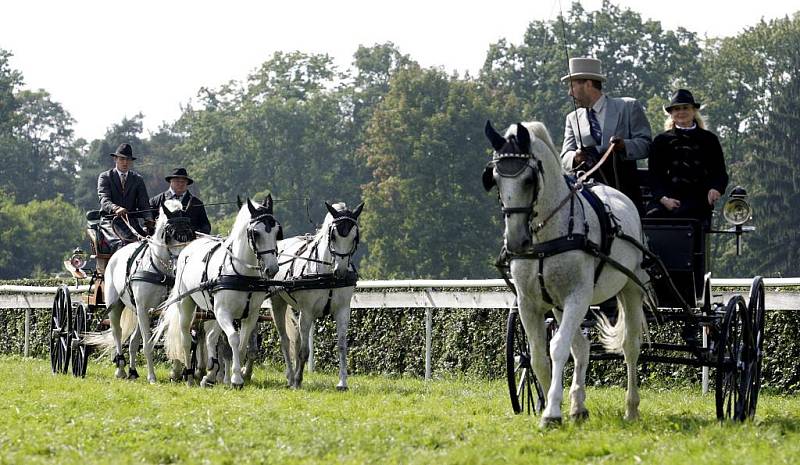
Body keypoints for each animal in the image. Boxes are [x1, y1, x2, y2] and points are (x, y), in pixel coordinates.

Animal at [83, 198, 193, 382]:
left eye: (191, 232)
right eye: (170, 233)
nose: (181, 265)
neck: (158, 268)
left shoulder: (159, 309)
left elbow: (171, 334)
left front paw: (177, 370)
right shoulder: (143, 308)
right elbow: (148, 343)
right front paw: (152, 377)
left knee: (133, 340)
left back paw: (133, 371)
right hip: (115, 306)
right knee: (118, 333)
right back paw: (120, 368)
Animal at [155, 196, 282, 388]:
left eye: (276, 232)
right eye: (256, 233)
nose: (272, 269)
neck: (242, 273)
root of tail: (188, 247)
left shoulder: (251, 315)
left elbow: (241, 345)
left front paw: (237, 374)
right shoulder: (224, 312)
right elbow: (233, 339)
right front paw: (235, 379)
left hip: (212, 311)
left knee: (210, 338)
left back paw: (209, 374)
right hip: (187, 305)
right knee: (186, 339)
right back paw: (188, 375)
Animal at [272, 201, 366, 390]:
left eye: (355, 237)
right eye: (333, 236)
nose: (341, 272)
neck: (327, 275)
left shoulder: (343, 311)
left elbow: (342, 346)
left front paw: (342, 382)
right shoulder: (307, 312)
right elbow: (304, 351)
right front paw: (298, 380)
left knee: (297, 338)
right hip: (277, 301)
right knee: (285, 340)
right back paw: (291, 377)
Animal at [482, 121, 648, 426]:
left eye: (528, 180)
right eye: (496, 178)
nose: (516, 242)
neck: (547, 236)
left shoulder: (577, 297)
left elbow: (557, 348)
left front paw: (551, 411)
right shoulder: (530, 304)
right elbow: (537, 357)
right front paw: (549, 404)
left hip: (631, 288)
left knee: (630, 347)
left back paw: (631, 408)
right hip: (559, 305)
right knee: (581, 346)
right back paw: (578, 406)